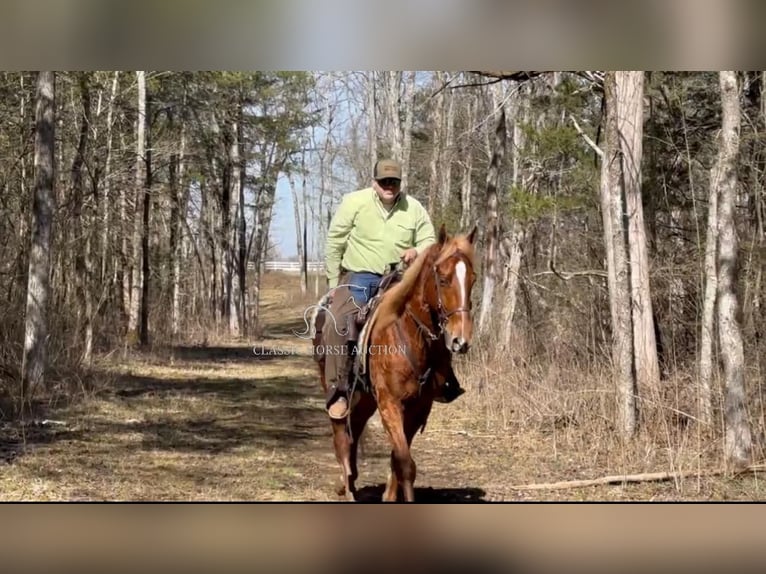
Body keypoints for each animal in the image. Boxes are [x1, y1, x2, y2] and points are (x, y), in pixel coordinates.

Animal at [312, 225, 474, 504]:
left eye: (473, 279)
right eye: (443, 279)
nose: (460, 340)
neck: (410, 334)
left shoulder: (419, 407)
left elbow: (398, 459)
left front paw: (388, 496)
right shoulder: (390, 403)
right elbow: (405, 464)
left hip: (366, 398)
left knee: (355, 429)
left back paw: (350, 480)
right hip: (336, 389)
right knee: (341, 433)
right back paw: (347, 488)